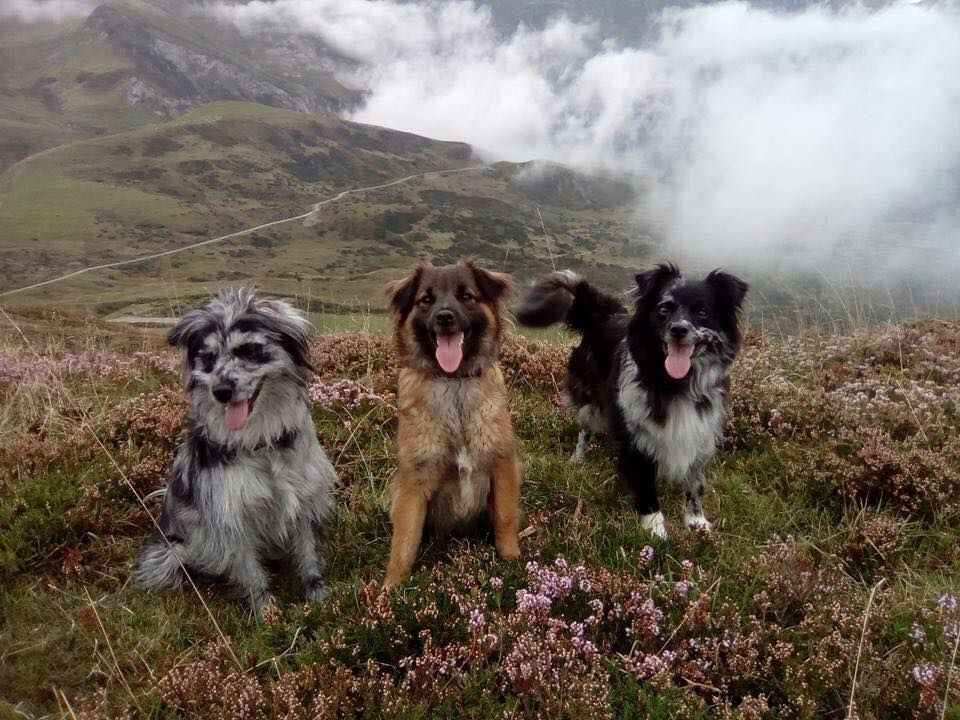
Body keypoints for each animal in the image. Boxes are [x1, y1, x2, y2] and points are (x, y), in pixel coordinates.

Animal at [134, 290, 338, 616]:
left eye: (249, 350)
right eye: (208, 359)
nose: (221, 391)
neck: (260, 443)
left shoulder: (305, 500)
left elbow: (309, 555)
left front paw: (317, 597)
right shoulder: (231, 517)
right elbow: (251, 573)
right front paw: (267, 614)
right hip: (169, 553)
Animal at [382, 262, 520, 588]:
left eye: (466, 296)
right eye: (426, 300)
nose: (445, 317)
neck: (454, 382)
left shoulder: (502, 465)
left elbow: (506, 518)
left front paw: (513, 561)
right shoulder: (413, 482)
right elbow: (403, 542)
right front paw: (391, 587)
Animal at [516, 262, 752, 536]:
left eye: (703, 311)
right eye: (664, 309)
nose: (678, 330)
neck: (672, 383)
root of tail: (605, 314)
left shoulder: (701, 431)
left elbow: (695, 482)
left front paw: (696, 521)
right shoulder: (636, 434)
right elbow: (644, 482)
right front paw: (655, 528)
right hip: (590, 401)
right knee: (585, 428)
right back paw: (578, 458)